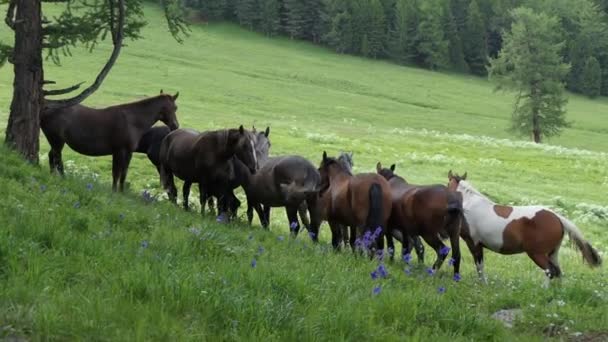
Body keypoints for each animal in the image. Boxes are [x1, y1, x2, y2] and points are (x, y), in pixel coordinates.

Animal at [39, 91, 178, 192]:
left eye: (175, 107)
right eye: (172, 107)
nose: (175, 126)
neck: (131, 120)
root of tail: (46, 108)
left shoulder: (128, 153)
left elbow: (123, 173)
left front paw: (121, 192)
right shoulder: (119, 151)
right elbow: (116, 173)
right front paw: (114, 191)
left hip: (57, 141)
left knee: (52, 156)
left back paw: (53, 176)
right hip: (56, 140)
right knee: (57, 158)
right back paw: (63, 178)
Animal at [448, 171, 600, 286]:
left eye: (448, 183)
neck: (469, 205)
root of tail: (557, 217)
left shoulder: (474, 243)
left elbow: (479, 266)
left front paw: (483, 284)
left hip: (537, 254)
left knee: (549, 271)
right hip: (552, 254)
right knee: (558, 272)